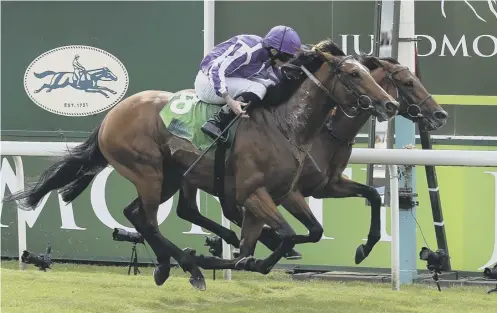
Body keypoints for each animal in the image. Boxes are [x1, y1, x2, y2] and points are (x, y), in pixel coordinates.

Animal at [3, 39, 398, 290]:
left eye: (368, 72)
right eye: (353, 74)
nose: (390, 104)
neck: (288, 125)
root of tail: (112, 115)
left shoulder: (286, 192)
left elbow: (309, 230)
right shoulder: (252, 193)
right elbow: (283, 236)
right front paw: (248, 257)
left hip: (171, 175)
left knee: (143, 214)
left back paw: (176, 262)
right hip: (148, 171)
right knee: (147, 220)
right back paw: (188, 266)